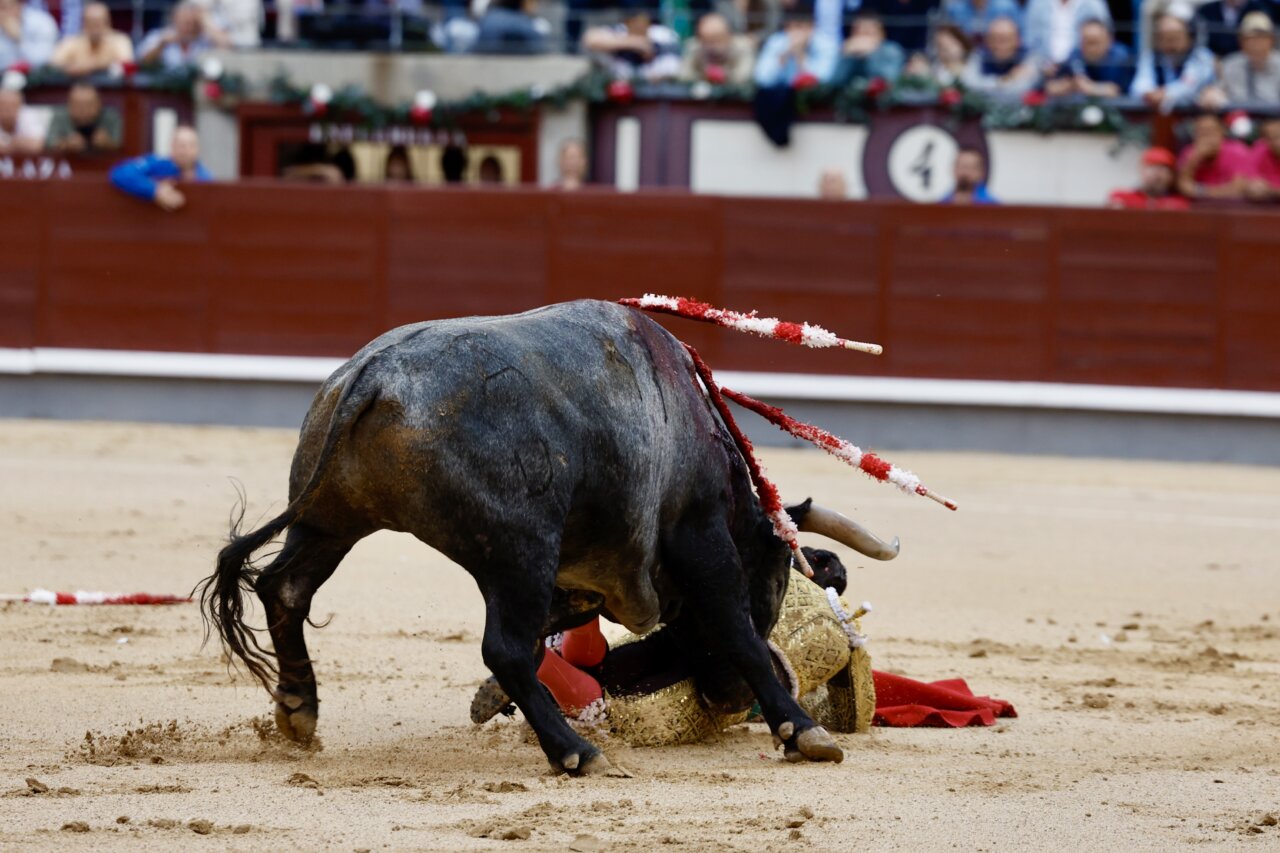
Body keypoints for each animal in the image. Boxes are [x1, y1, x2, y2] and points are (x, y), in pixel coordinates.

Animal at [199, 299, 899, 774]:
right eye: (775, 579)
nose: (722, 699)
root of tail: (377, 375)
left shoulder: (583, 577)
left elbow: (559, 634)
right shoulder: (700, 539)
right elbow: (739, 633)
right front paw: (802, 731)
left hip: (331, 520)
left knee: (287, 589)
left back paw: (299, 708)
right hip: (517, 551)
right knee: (503, 647)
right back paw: (575, 753)